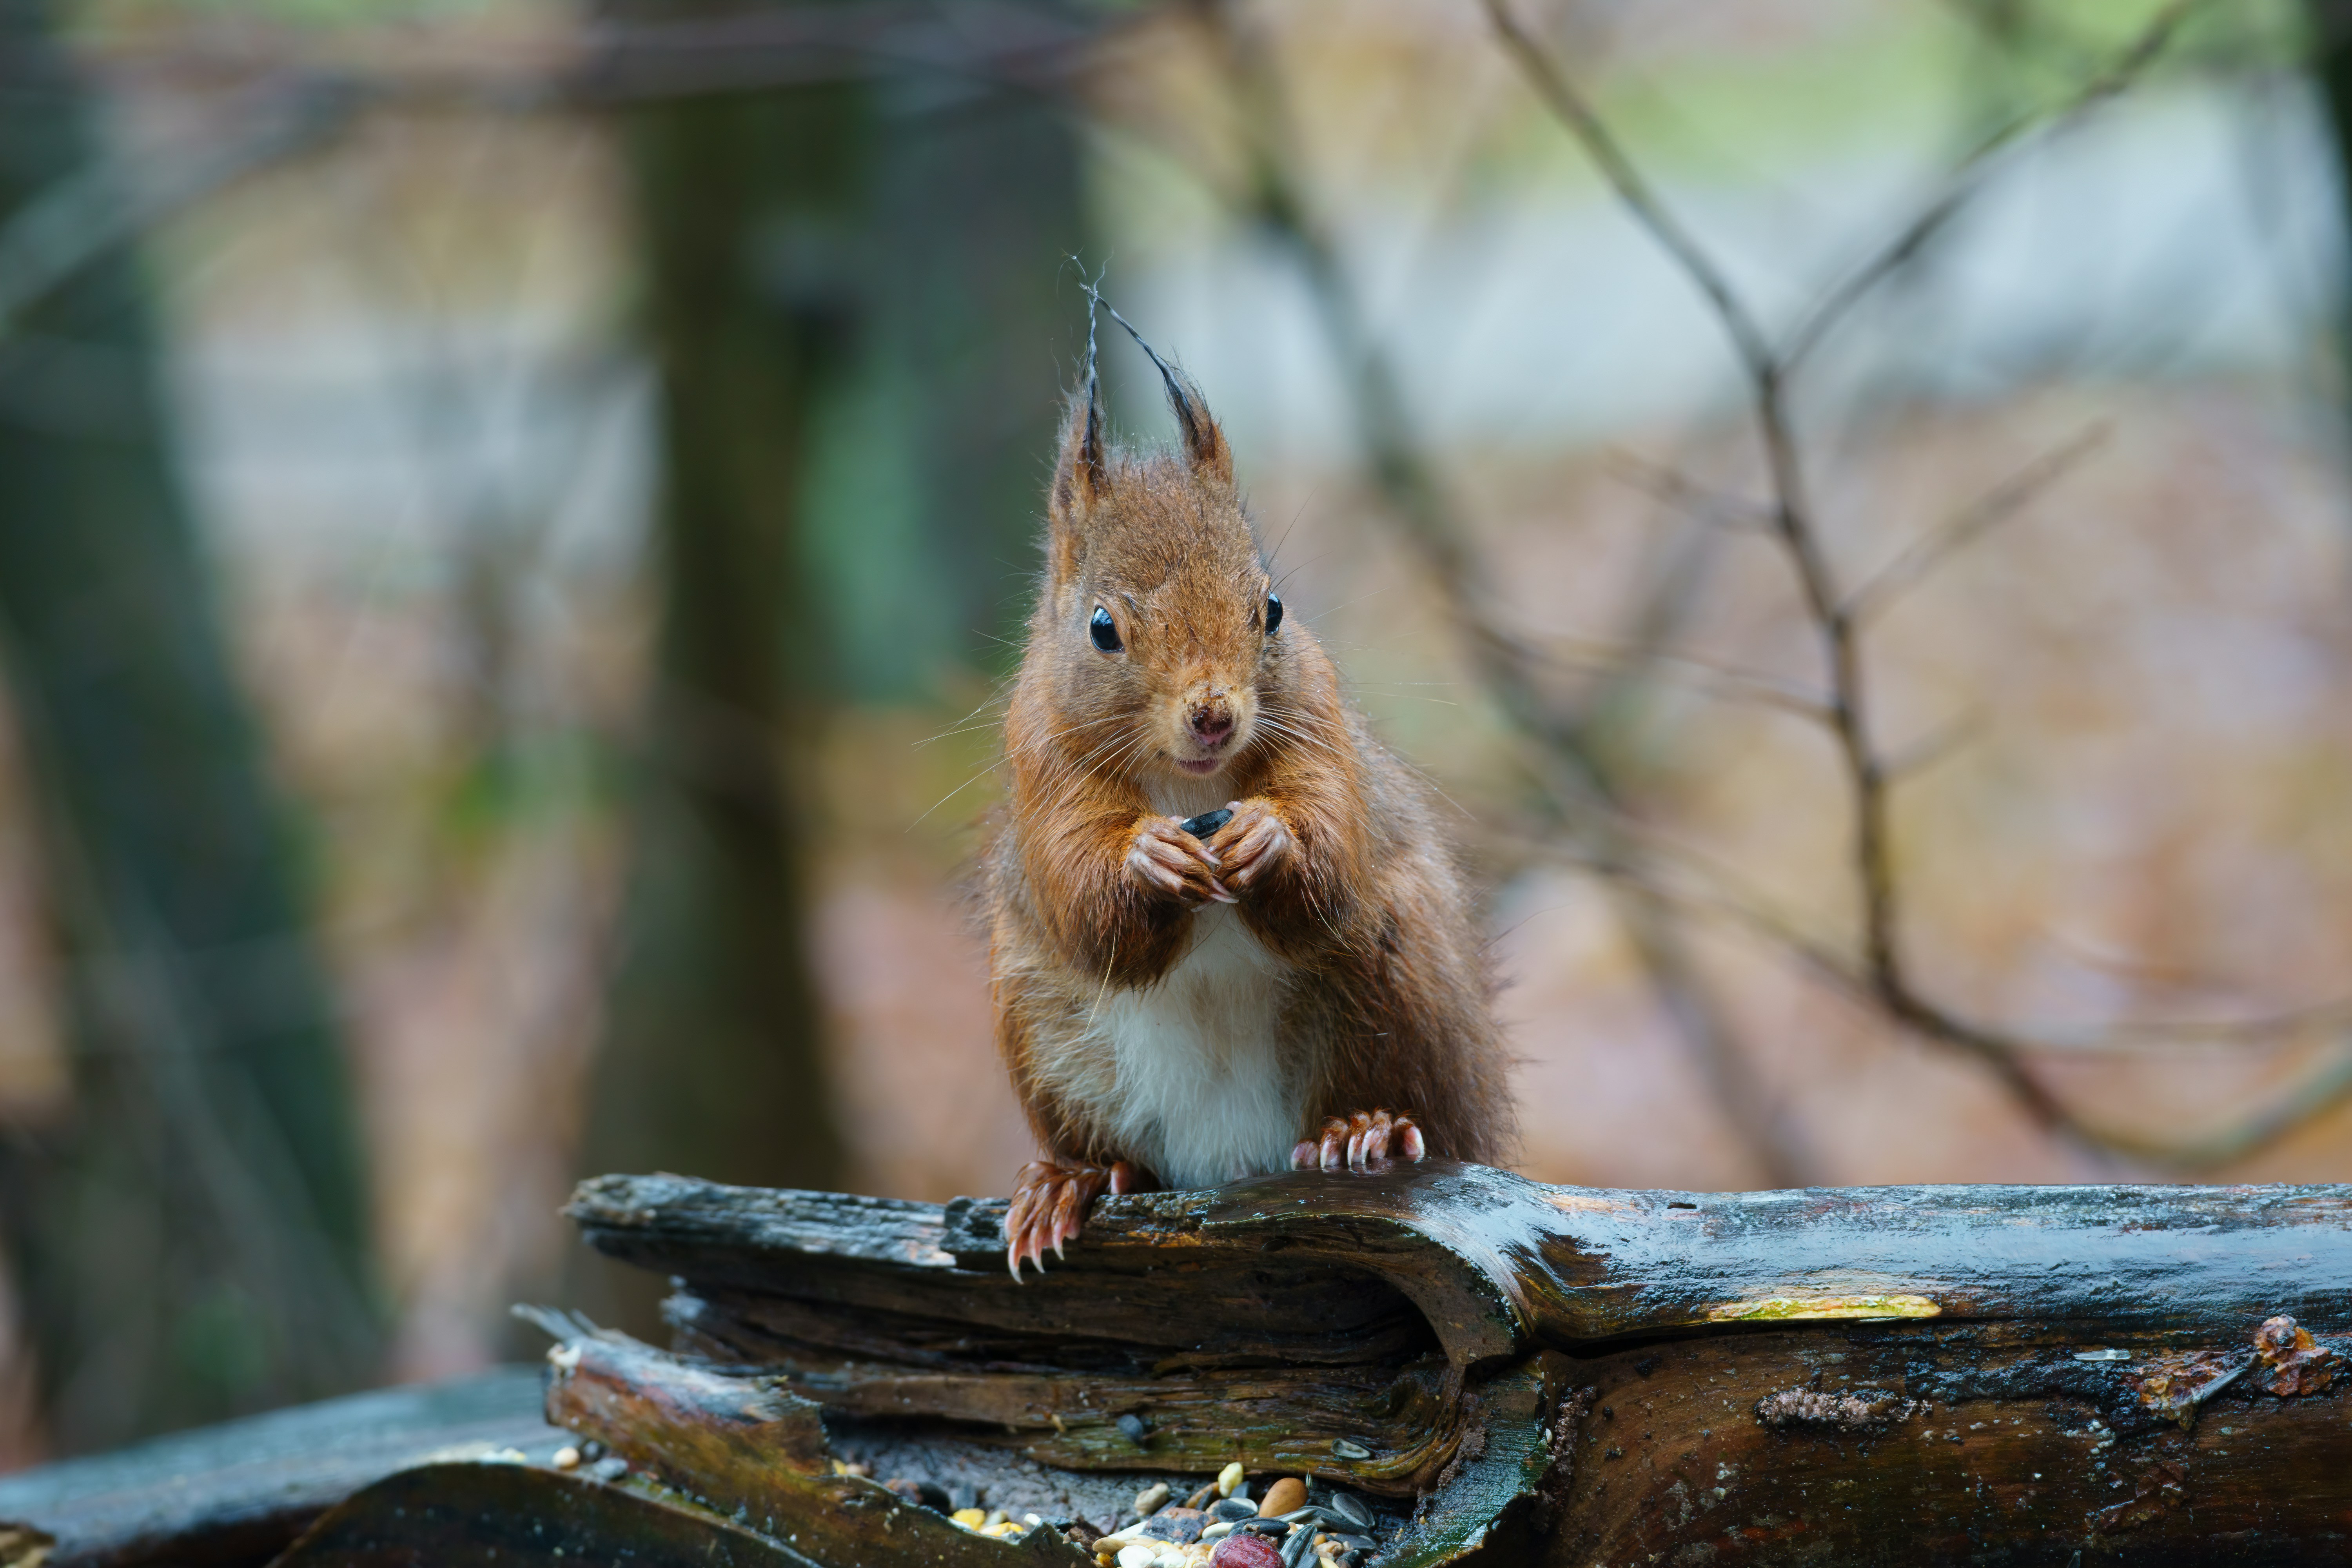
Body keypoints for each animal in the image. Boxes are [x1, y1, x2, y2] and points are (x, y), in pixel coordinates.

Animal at [982, 304, 1516, 1277]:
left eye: (1270, 609)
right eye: (1102, 627)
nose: (1214, 715)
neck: (1186, 781)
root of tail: (1228, 1158)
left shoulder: (1317, 721)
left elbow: (1329, 846)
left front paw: (1270, 840)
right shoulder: (1042, 761)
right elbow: (1085, 900)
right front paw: (1149, 858)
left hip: (1400, 974)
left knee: (1402, 1094)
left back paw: (1363, 1129)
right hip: (1038, 1022)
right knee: (1119, 1153)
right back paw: (1076, 1179)